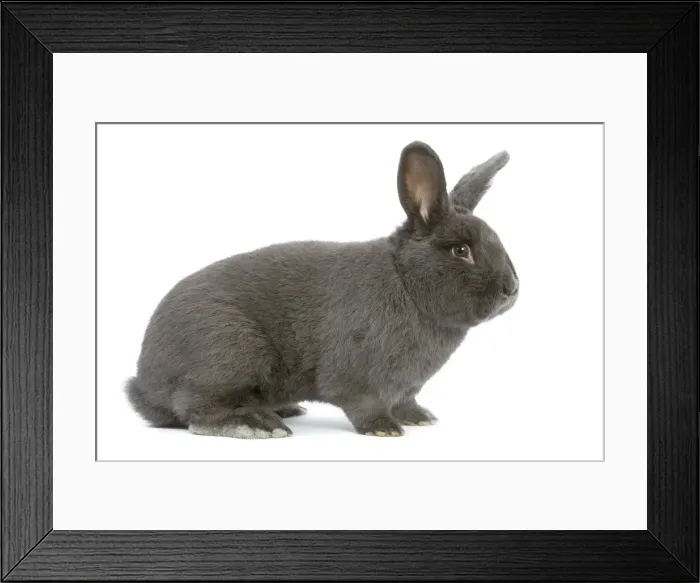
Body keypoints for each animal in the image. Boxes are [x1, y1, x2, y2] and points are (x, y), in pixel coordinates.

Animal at [126, 140, 518, 439]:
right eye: (461, 250)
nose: (512, 288)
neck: (405, 281)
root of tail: (144, 382)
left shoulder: (407, 387)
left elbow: (406, 401)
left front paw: (420, 417)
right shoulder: (357, 379)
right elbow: (365, 405)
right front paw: (385, 428)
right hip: (231, 352)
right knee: (195, 410)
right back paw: (259, 424)